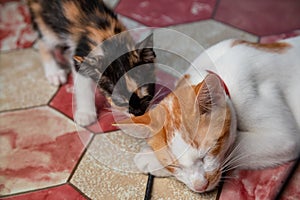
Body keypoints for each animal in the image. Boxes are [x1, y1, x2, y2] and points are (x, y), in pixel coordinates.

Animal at [27, 0, 157, 125]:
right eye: (121, 102)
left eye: (145, 95)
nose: (139, 113)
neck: (112, 42)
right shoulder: (82, 58)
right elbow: (83, 86)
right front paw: (86, 114)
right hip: (45, 22)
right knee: (43, 40)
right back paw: (54, 73)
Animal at [115, 36, 300, 193]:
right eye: (176, 167)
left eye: (207, 154)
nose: (200, 186)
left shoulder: (282, 136)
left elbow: (236, 144)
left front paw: (149, 158)